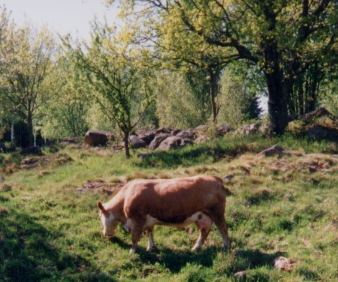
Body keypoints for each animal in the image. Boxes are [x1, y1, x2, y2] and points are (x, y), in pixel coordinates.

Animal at [96, 175, 231, 252]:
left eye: (101, 217)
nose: (104, 234)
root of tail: (215, 178)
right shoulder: (148, 221)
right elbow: (149, 233)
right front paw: (150, 247)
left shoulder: (137, 221)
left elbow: (134, 238)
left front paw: (132, 251)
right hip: (202, 216)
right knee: (204, 231)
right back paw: (195, 248)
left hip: (217, 213)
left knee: (223, 229)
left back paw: (226, 246)